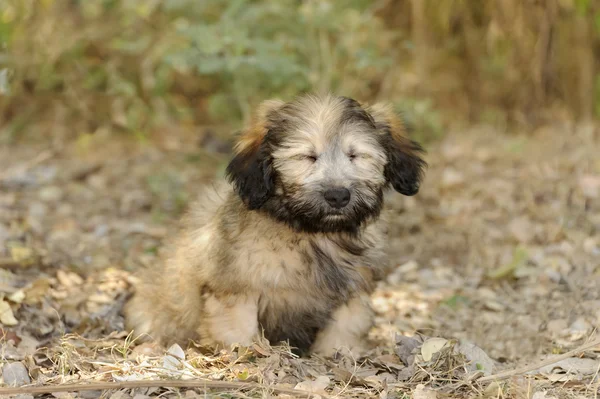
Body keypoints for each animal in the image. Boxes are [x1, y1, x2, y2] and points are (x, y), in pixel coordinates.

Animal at [123, 94, 426, 356]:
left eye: (355, 155)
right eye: (307, 156)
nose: (338, 195)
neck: (313, 233)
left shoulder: (354, 291)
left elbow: (346, 327)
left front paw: (339, 355)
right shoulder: (236, 286)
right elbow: (237, 326)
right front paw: (244, 354)